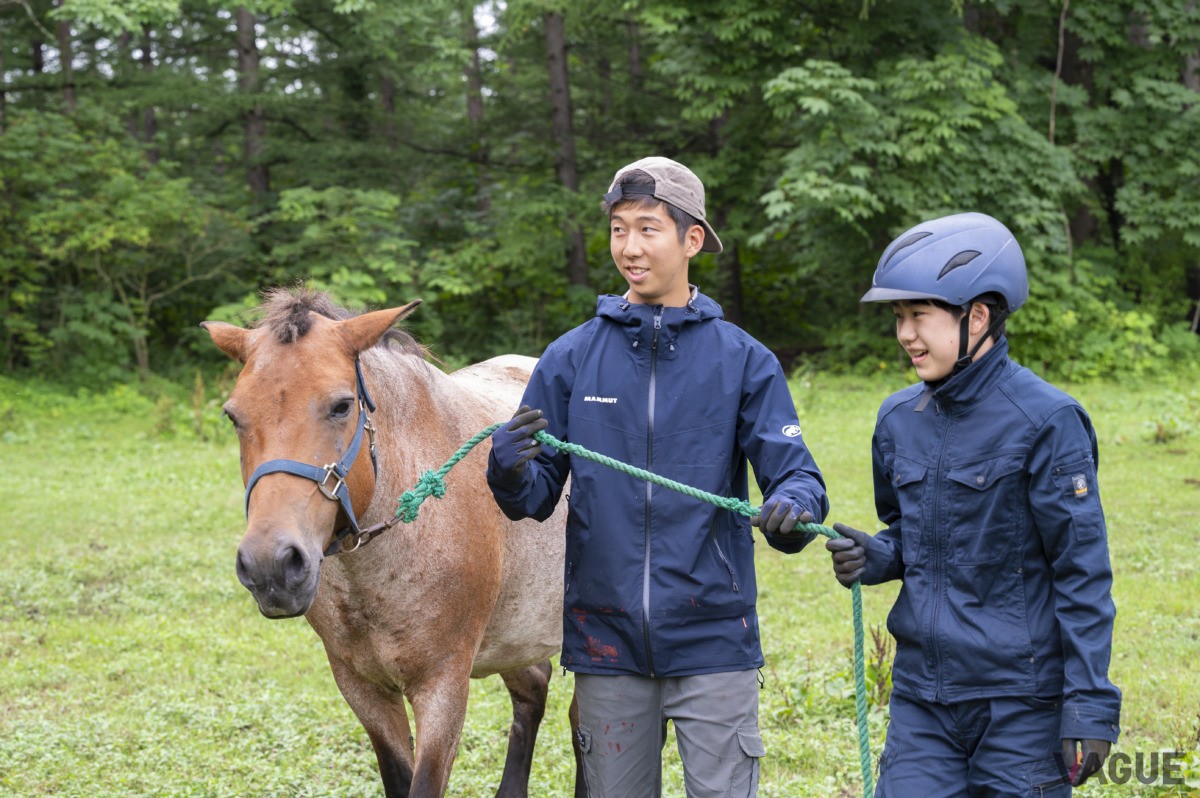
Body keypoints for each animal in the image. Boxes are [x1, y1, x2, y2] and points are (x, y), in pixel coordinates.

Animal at [202, 288, 580, 798]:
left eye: (342, 406)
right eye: (233, 415)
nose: (271, 565)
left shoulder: (443, 688)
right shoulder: (363, 688)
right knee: (532, 690)